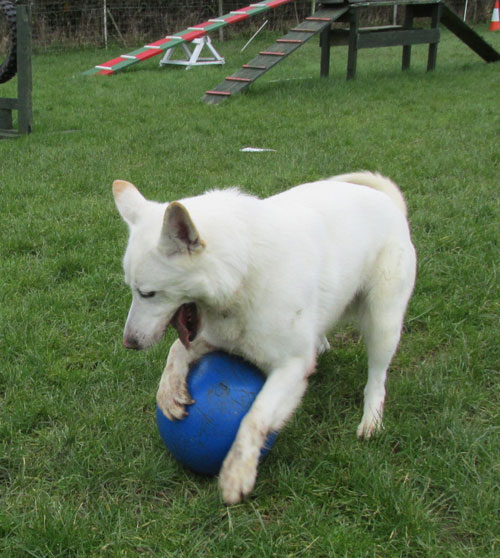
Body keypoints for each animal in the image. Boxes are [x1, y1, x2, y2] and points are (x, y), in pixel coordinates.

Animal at [114, 173, 418, 506]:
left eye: (147, 293)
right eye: (131, 289)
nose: (129, 343)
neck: (244, 270)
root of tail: (389, 201)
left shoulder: (291, 367)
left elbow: (254, 416)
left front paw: (237, 472)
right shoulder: (217, 338)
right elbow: (175, 351)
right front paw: (168, 391)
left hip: (383, 324)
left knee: (377, 378)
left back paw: (371, 419)